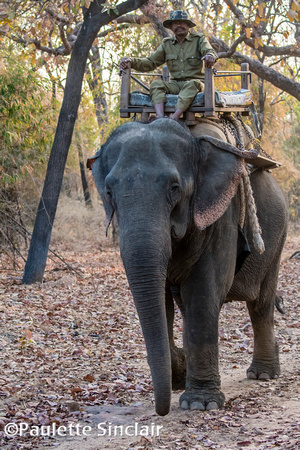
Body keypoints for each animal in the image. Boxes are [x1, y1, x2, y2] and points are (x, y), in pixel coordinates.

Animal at [89, 118, 288, 414]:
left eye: (174, 188)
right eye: (109, 192)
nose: (161, 410)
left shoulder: (221, 215)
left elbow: (203, 294)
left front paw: (200, 404)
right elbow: (162, 301)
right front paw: (180, 375)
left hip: (277, 236)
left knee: (260, 303)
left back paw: (263, 374)